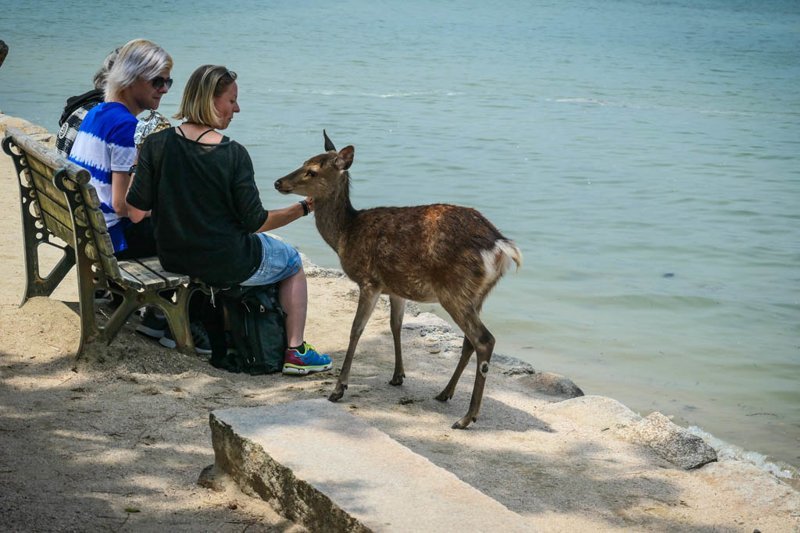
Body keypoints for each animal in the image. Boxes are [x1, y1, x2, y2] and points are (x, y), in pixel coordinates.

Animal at [274, 132, 524, 428]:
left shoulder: (369, 280)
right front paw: (397, 376)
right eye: (304, 162)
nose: (278, 182)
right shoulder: (395, 287)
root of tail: (501, 247)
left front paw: (338, 389)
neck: (345, 234)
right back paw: (445, 393)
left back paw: (466, 418)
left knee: (484, 339)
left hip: (454, 290)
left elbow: (356, 329)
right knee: (469, 341)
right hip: (478, 294)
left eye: (311, 171)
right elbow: (395, 326)